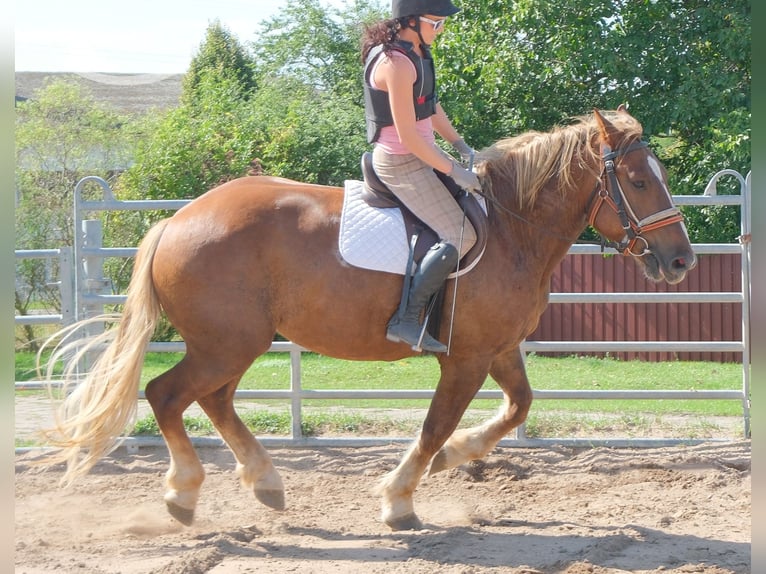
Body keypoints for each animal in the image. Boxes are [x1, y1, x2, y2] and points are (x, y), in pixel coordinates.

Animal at [41, 106, 696, 531]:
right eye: (639, 181)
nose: (682, 261)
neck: (512, 228)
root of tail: (177, 220)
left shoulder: (499, 349)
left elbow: (516, 408)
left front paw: (459, 456)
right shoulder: (464, 358)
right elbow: (433, 426)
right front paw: (399, 499)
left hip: (231, 346)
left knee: (212, 401)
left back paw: (264, 483)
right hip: (225, 344)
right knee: (167, 395)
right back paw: (184, 494)